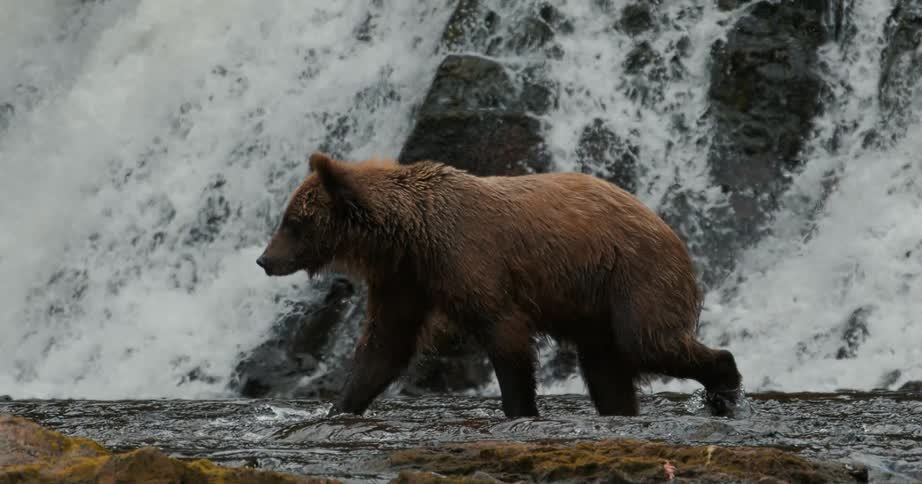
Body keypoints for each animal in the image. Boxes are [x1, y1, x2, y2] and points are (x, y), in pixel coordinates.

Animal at [257, 152, 743, 418]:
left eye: (293, 222)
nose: (265, 259)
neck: (410, 234)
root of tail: (669, 228)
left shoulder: (472, 262)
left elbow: (505, 336)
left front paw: (520, 409)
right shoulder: (407, 281)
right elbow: (384, 347)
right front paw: (339, 407)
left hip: (633, 276)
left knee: (648, 341)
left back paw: (725, 383)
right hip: (595, 307)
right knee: (607, 370)